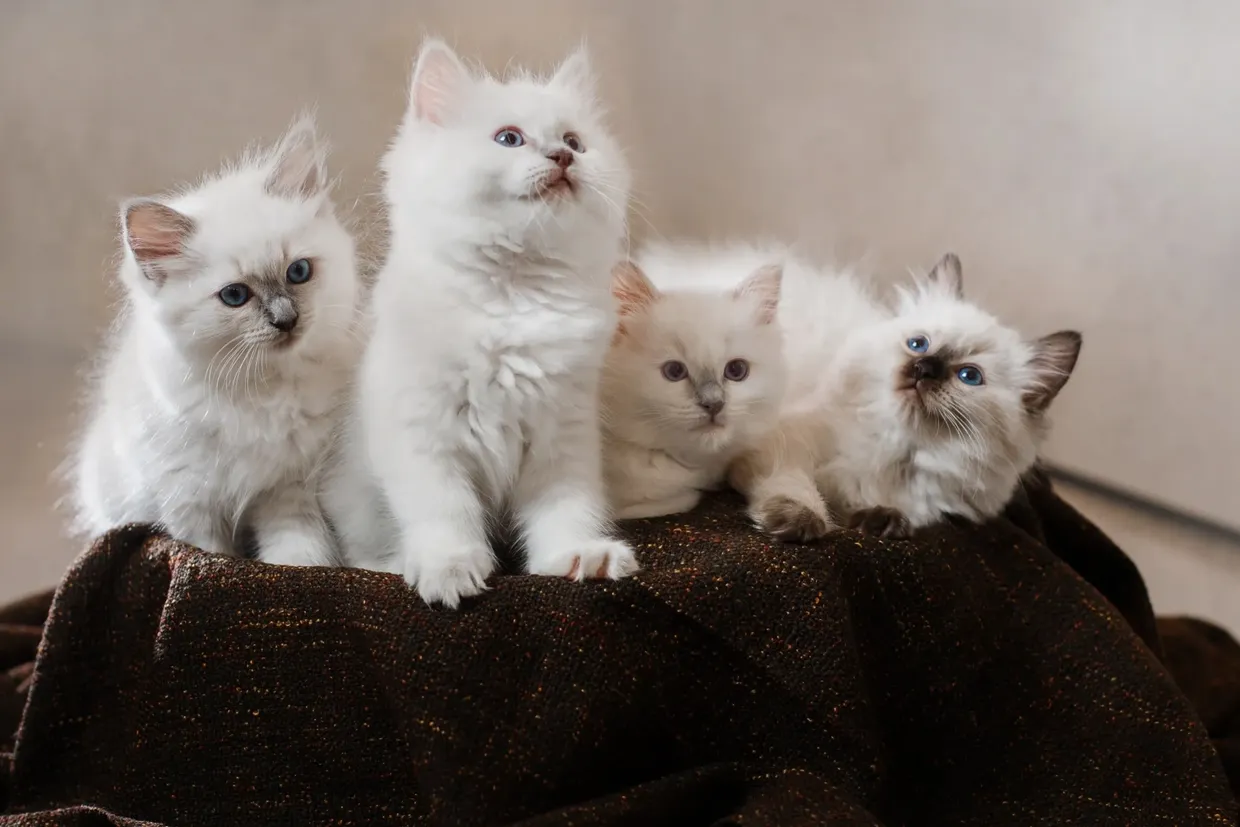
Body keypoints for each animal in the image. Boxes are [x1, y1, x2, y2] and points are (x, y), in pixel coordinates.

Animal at [68, 114, 362, 570]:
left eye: (298, 272)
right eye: (235, 296)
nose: (286, 320)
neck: (263, 392)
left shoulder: (288, 491)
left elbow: (297, 557)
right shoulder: (191, 502)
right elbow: (208, 558)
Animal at [319, 38, 639, 607]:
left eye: (575, 142)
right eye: (509, 138)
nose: (562, 157)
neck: (515, 296)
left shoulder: (563, 432)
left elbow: (565, 507)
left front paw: (576, 556)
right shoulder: (423, 432)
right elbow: (445, 511)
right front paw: (449, 568)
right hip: (353, 495)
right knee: (363, 550)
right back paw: (397, 562)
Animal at [729, 255, 1081, 540]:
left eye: (969, 376)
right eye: (918, 344)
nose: (923, 368)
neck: (893, 449)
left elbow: (873, 509)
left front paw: (879, 521)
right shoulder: (782, 444)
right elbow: (793, 483)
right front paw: (799, 521)